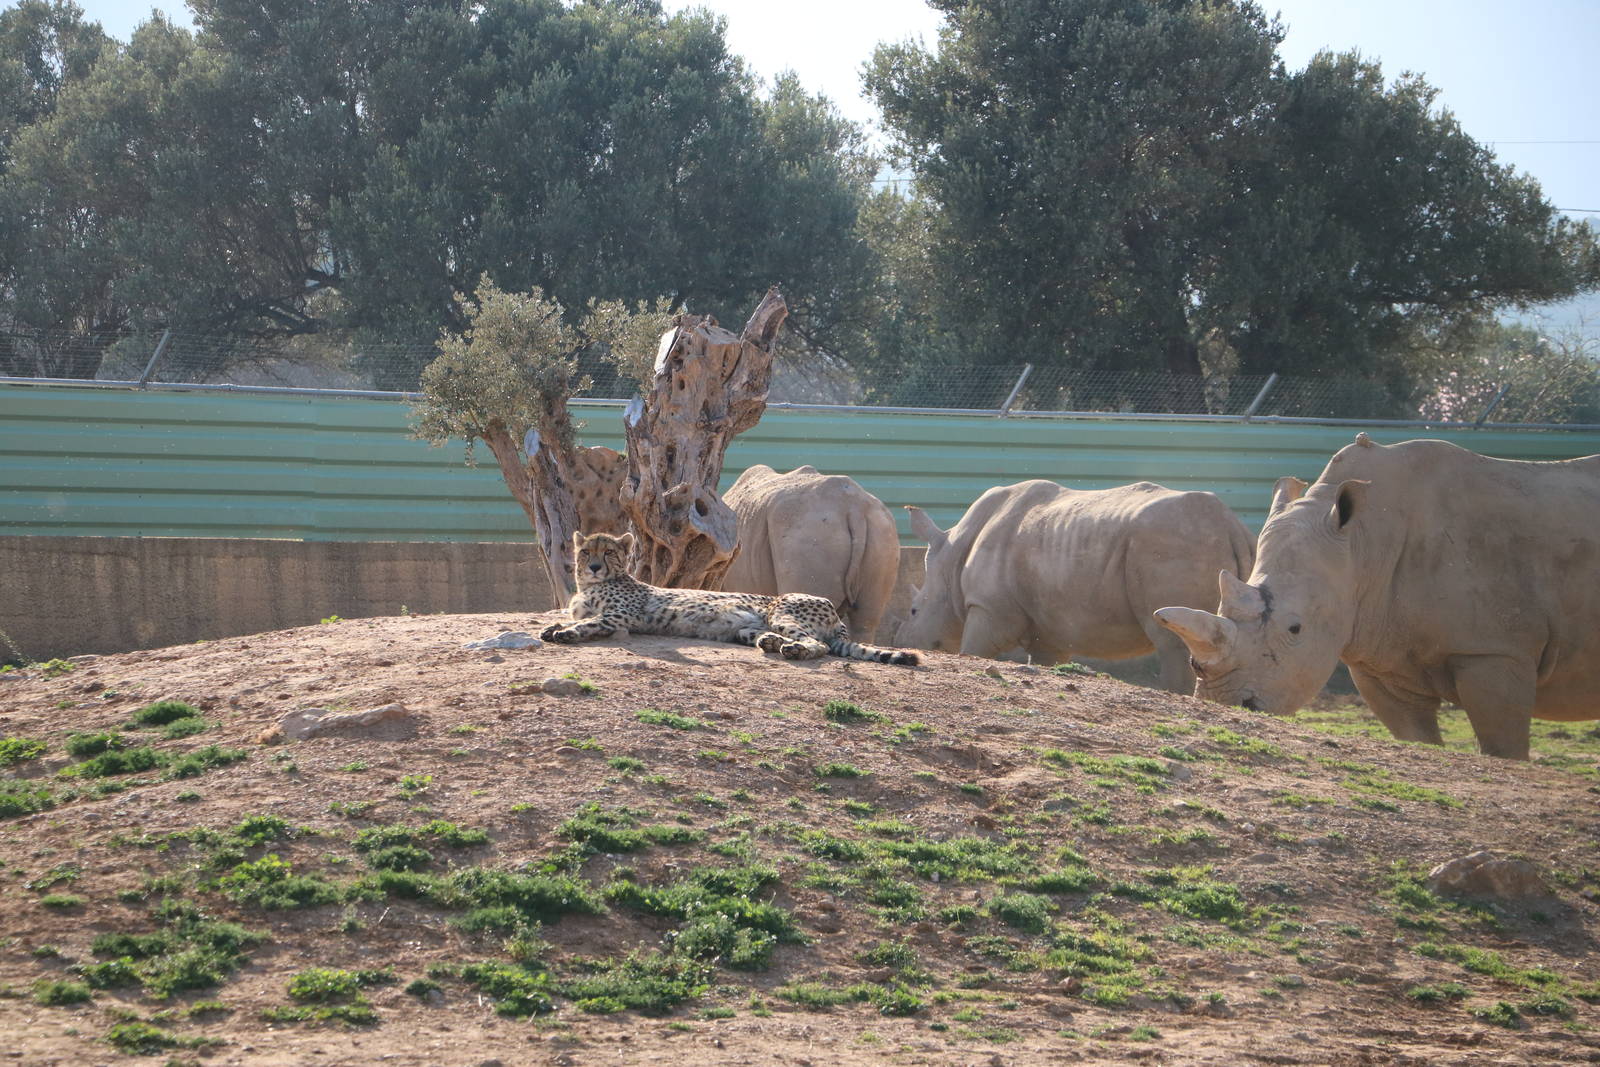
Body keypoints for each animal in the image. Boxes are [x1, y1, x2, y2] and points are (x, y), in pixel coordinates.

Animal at [539, 531, 921, 666]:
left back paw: (795, 651)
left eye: (608, 551)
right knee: (775, 637)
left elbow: (589, 622)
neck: (591, 586)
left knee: (820, 645)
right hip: (746, 628)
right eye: (586, 551)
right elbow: (573, 617)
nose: (593, 566)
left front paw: (565, 633)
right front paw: (554, 627)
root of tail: (833, 612)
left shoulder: (622, 617)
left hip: (784, 611)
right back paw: (772, 643)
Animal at [897, 480, 1255, 691]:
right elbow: (1044, 660)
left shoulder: (989, 610)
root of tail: (1233, 525)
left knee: (1174, 642)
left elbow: (973, 650)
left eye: (914, 610)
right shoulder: (1047, 630)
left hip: (1172, 544)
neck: (952, 559)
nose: (906, 644)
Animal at [1154, 433, 1600, 759]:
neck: (1362, 546)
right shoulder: (1382, 653)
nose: (1225, 705)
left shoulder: (1495, 650)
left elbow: (1502, 748)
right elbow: (1416, 737)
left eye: (1295, 629)